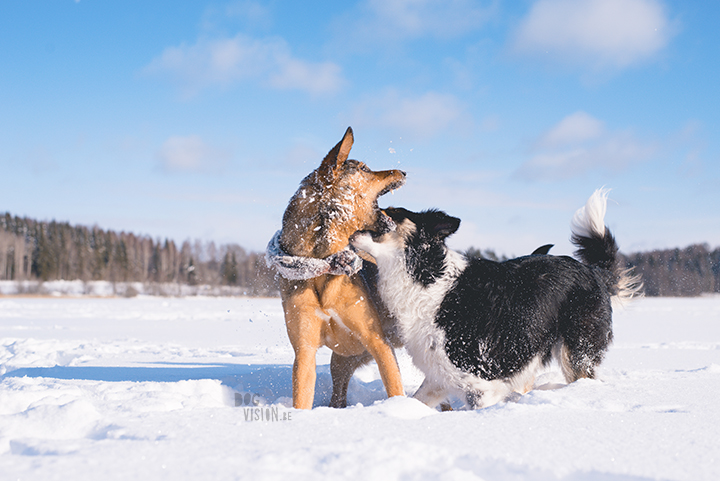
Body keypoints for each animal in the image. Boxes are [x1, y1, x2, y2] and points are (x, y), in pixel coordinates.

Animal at [268, 127, 408, 408]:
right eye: (364, 168)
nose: (404, 172)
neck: (325, 264)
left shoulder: (379, 342)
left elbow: (395, 387)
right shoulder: (304, 351)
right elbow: (302, 396)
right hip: (340, 363)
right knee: (338, 393)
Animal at [350, 189, 640, 406]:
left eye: (391, 212)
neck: (426, 278)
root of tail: (595, 272)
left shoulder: (481, 385)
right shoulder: (439, 376)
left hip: (577, 352)